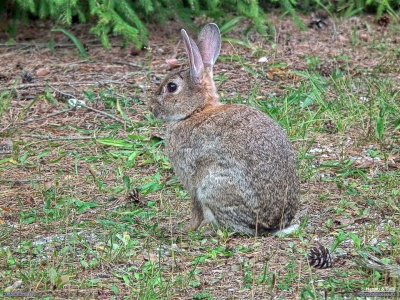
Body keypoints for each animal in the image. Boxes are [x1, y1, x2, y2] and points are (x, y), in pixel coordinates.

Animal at [150, 23, 300, 236]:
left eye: (171, 87)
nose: (152, 108)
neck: (196, 111)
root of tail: (270, 225)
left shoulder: (191, 179)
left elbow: (195, 209)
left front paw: (188, 229)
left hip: (213, 185)